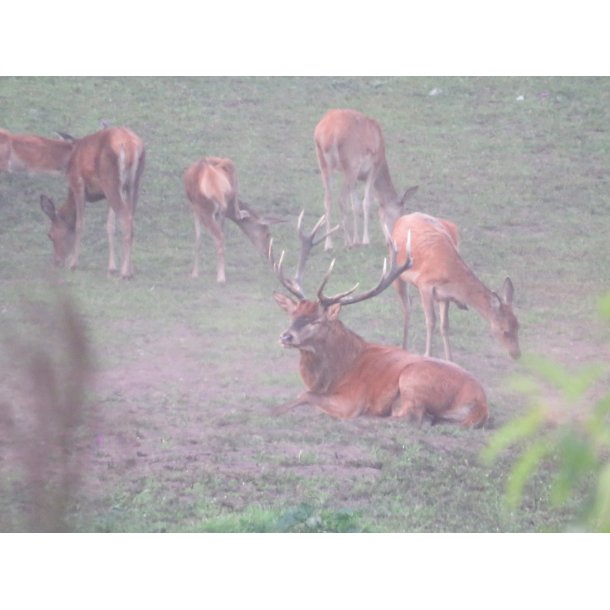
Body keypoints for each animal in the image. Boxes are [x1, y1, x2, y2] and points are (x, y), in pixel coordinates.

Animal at [38, 126, 145, 278]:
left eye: (50, 235)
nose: (57, 262)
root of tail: (130, 145)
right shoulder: (106, 194)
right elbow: (110, 226)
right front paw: (112, 268)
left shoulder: (78, 184)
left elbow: (79, 225)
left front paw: (73, 264)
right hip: (132, 184)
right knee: (130, 218)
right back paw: (129, 270)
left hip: (111, 180)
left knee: (126, 219)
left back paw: (125, 273)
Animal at [268, 216, 486, 426]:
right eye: (293, 315)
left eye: (316, 321)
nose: (285, 337)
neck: (335, 373)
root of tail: (481, 401)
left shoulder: (351, 399)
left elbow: (304, 395)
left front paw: (274, 411)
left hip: (412, 377)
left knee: (413, 417)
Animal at [312, 109, 416, 249]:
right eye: (401, 214)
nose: (392, 241)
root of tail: (328, 134)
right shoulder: (373, 168)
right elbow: (366, 202)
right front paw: (365, 240)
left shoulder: (357, 177)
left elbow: (355, 205)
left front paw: (357, 240)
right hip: (351, 165)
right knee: (341, 199)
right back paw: (348, 242)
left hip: (323, 164)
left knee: (328, 199)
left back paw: (329, 245)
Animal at [390, 210, 516, 358]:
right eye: (505, 330)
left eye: (518, 325)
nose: (517, 353)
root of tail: (404, 217)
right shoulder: (424, 285)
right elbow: (431, 321)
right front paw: (428, 355)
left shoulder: (444, 295)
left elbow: (445, 326)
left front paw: (449, 359)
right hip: (396, 272)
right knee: (407, 307)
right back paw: (403, 348)